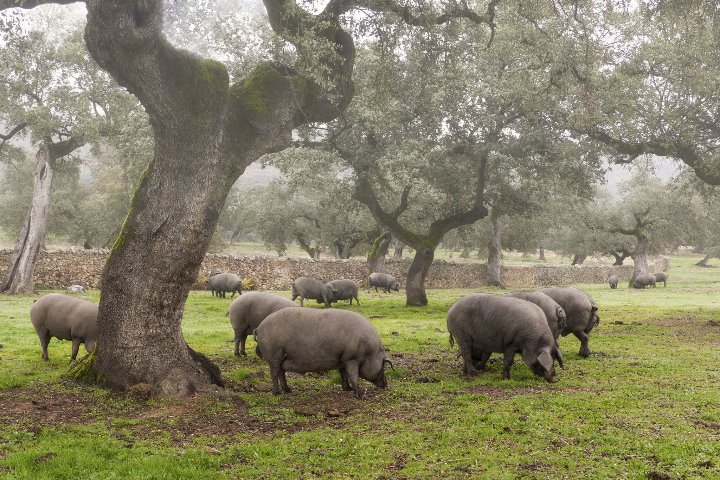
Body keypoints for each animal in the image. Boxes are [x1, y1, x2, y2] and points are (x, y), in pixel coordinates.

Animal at [255, 308, 390, 398]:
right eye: (383, 365)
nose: (386, 384)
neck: (370, 351)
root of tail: (259, 327)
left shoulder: (342, 360)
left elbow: (344, 375)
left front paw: (347, 389)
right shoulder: (352, 358)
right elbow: (353, 376)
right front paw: (361, 395)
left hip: (281, 357)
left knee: (281, 372)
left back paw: (288, 390)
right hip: (274, 354)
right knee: (274, 373)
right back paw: (276, 393)